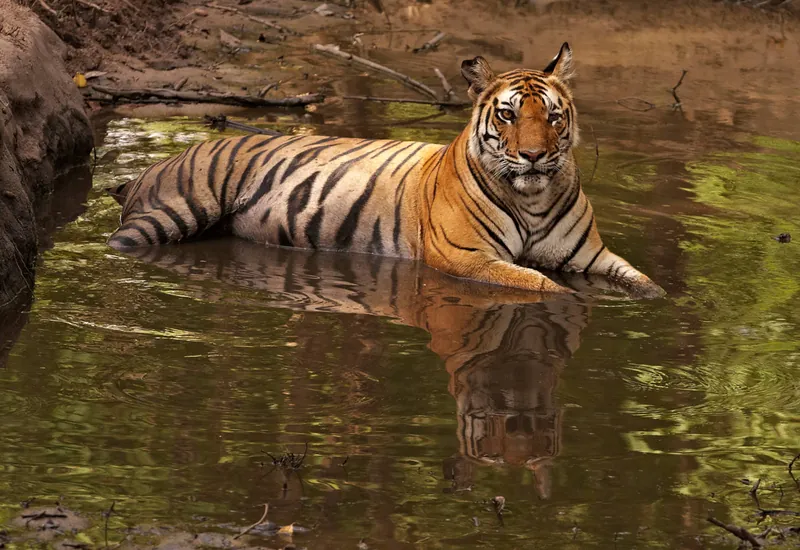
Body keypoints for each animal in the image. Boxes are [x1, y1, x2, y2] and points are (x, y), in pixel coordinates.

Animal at [107, 42, 665, 298]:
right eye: (508, 115)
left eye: (552, 116)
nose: (532, 156)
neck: (533, 197)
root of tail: (160, 161)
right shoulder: (467, 258)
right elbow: (543, 286)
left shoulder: (589, 255)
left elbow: (643, 280)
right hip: (171, 212)